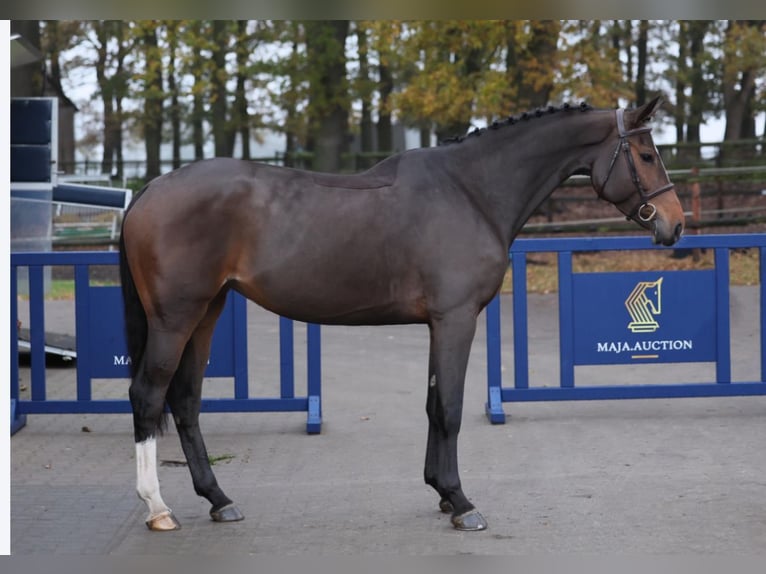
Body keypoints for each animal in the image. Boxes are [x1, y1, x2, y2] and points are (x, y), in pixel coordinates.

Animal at [118, 97, 684, 532]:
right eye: (647, 154)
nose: (675, 225)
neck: (470, 190)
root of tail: (151, 189)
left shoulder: (439, 323)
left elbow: (434, 405)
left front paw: (441, 492)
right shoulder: (457, 319)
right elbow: (451, 408)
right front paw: (462, 503)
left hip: (206, 313)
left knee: (186, 401)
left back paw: (219, 499)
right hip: (175, 318)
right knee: (148, 395)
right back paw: (158, 508)